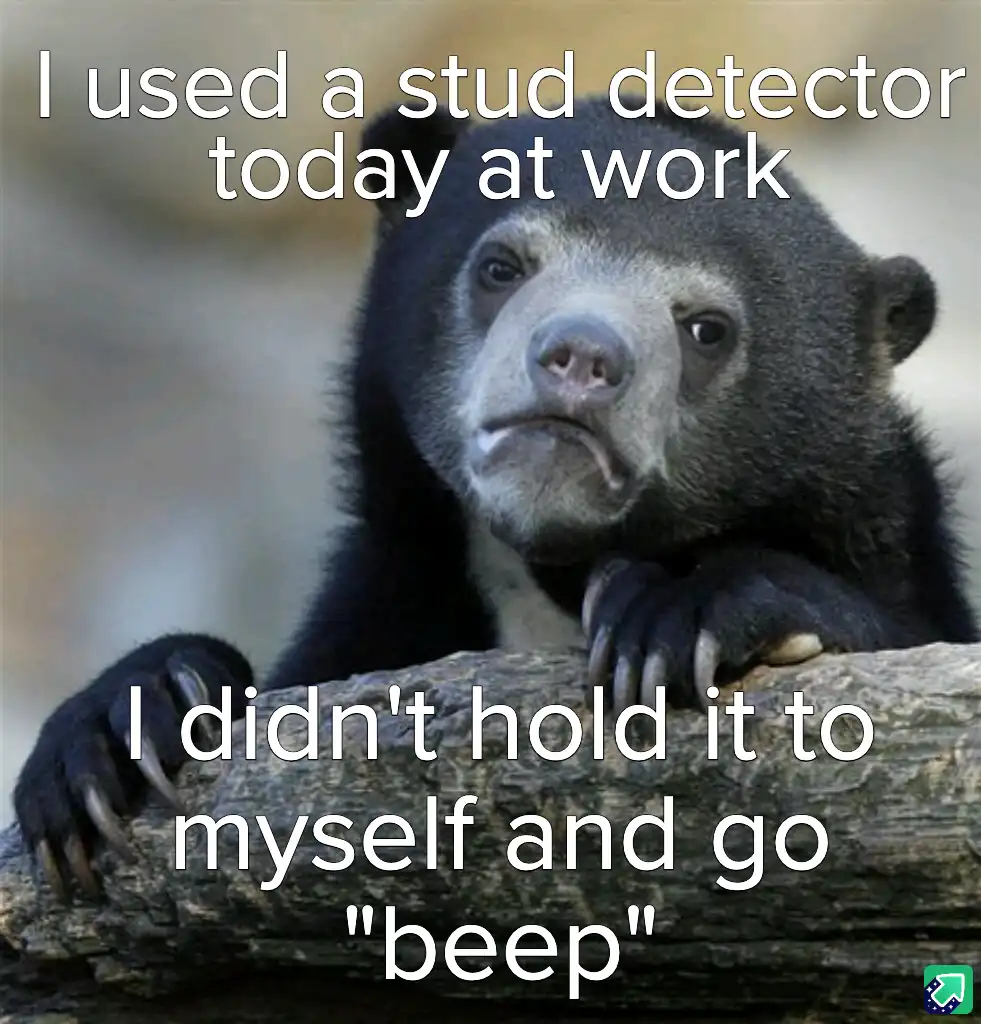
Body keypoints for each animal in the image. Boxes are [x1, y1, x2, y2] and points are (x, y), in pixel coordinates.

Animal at [12, 95, 979, 900]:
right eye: (501, 266)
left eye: (706, 328)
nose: (581, 358)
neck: (547, 573)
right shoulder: (395, 591)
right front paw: (116, 733)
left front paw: (673, 613)